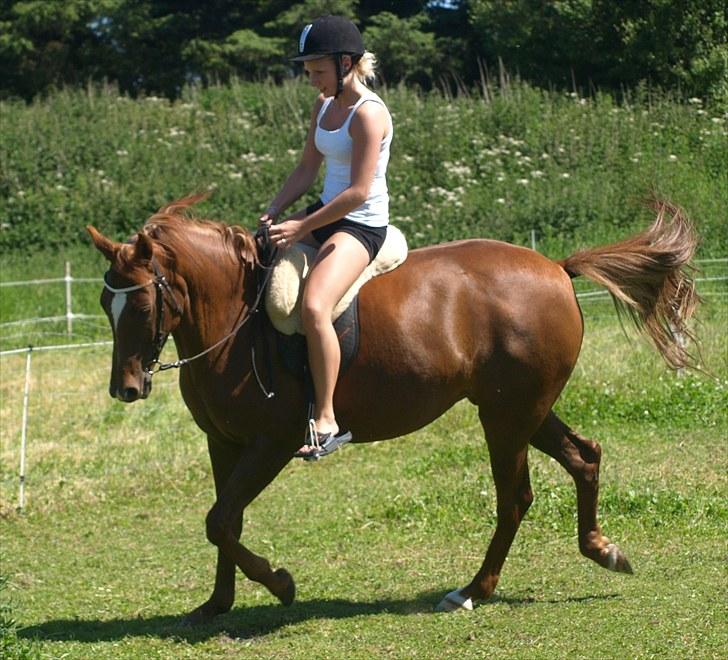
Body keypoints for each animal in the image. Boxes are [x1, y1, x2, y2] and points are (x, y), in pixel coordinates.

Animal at [88, 195, 696, 620]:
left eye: (140, 303)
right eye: (104, 302)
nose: (126, 389)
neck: (236, 317)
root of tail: (555, 266)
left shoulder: (271, 445)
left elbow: (219, 520)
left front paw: (282, 584)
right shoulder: (224, 443)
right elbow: (225, 521)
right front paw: (217, 604)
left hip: (505, 418)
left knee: (516, 497)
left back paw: (472, 591)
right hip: (524, 409)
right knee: (583, 457)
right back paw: (602, 550)